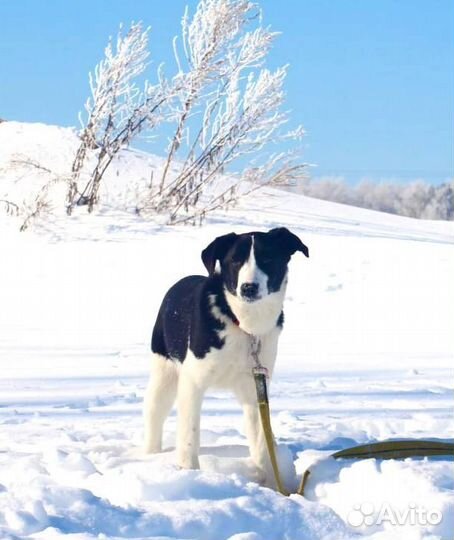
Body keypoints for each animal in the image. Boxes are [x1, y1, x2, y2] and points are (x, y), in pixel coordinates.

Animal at [145, 226, 308, 488]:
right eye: (234, 261)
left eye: (268, 258)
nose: (248, 287)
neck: (243, 325)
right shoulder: (192, 382)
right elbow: (190, 435)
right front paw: (190, 474)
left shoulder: (255, 387)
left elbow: (262, 442)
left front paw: (274, 487)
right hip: (164, 372)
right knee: (154, 413)